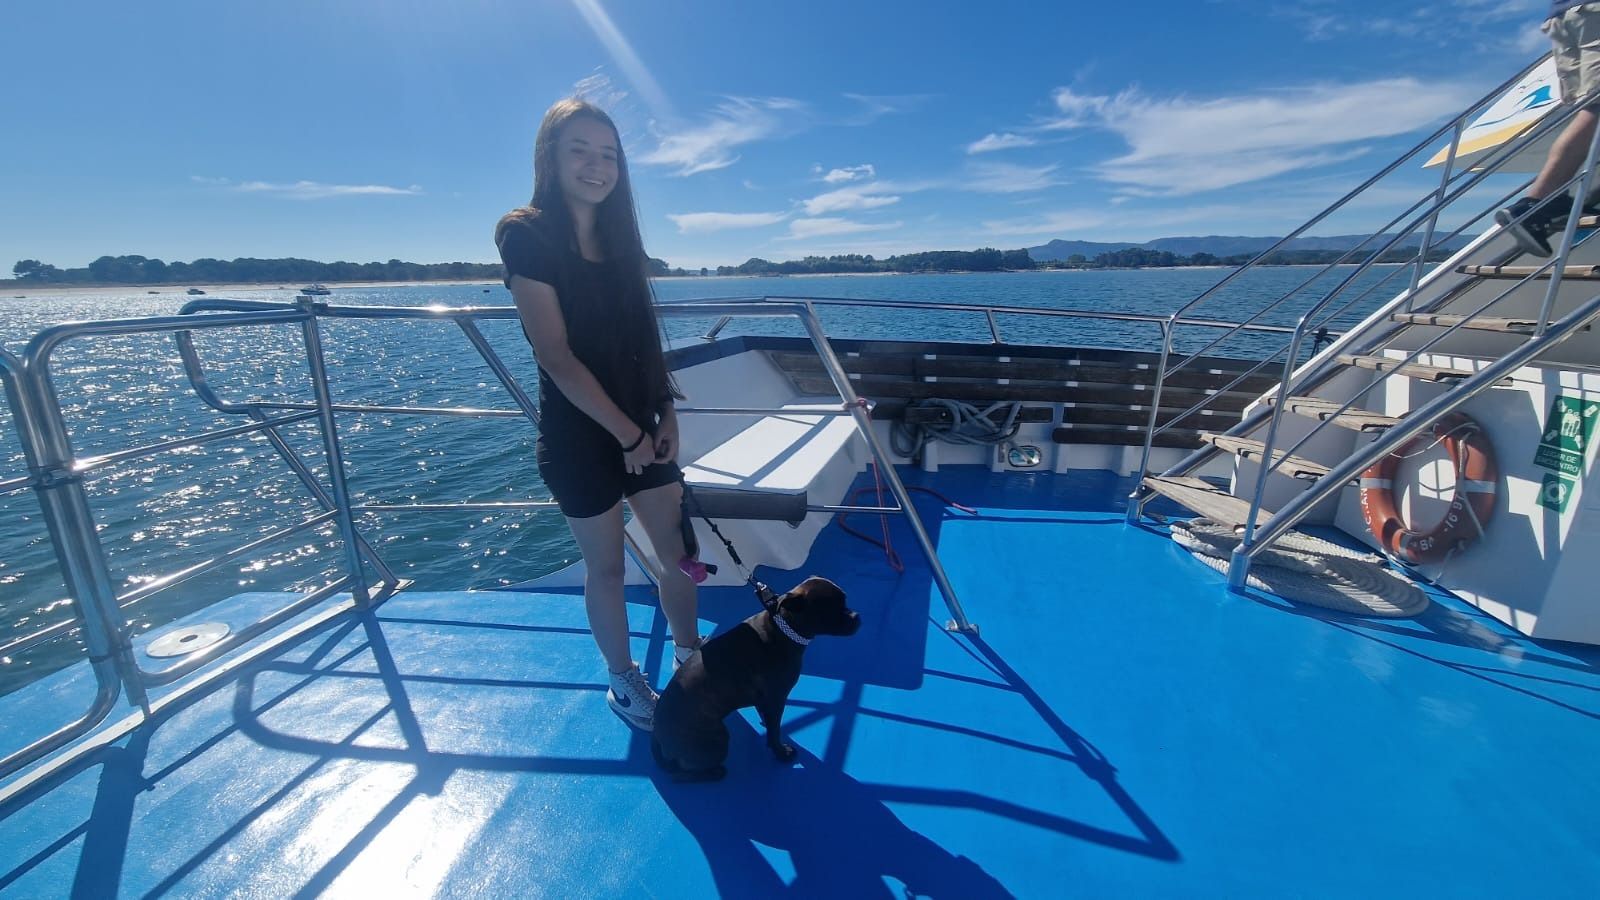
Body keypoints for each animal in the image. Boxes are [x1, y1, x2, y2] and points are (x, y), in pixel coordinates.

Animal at [649, 573, 864, 778]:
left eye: (845, 600)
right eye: (831, 608)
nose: (857, 616)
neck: (783, 628)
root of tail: (658, 737)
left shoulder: (766, 700)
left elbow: (769, 721)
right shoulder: (776, 699)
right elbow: (775, 731)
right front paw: (780, 752)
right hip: (716, 740)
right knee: (680, 774)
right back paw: (714, 772)